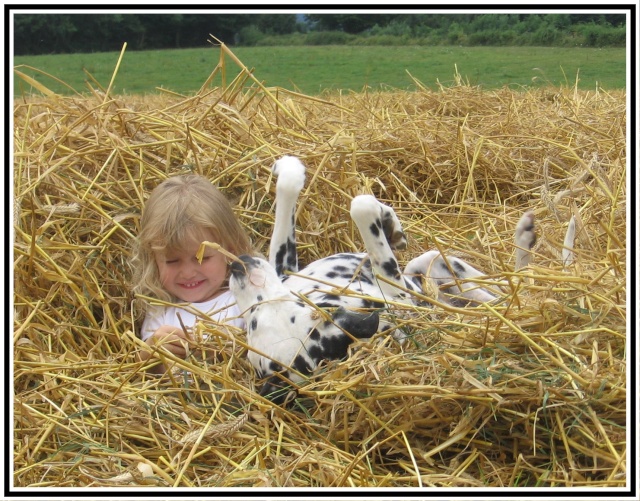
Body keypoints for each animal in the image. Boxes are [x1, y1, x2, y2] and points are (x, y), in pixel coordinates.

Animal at [230, 156, 536, 402]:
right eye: (253, 320)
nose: (236, 265)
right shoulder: (400, 297)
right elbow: (360, 207)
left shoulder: (285, 270)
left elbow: (288, 212)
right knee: (514, 295)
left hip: (434, 265)